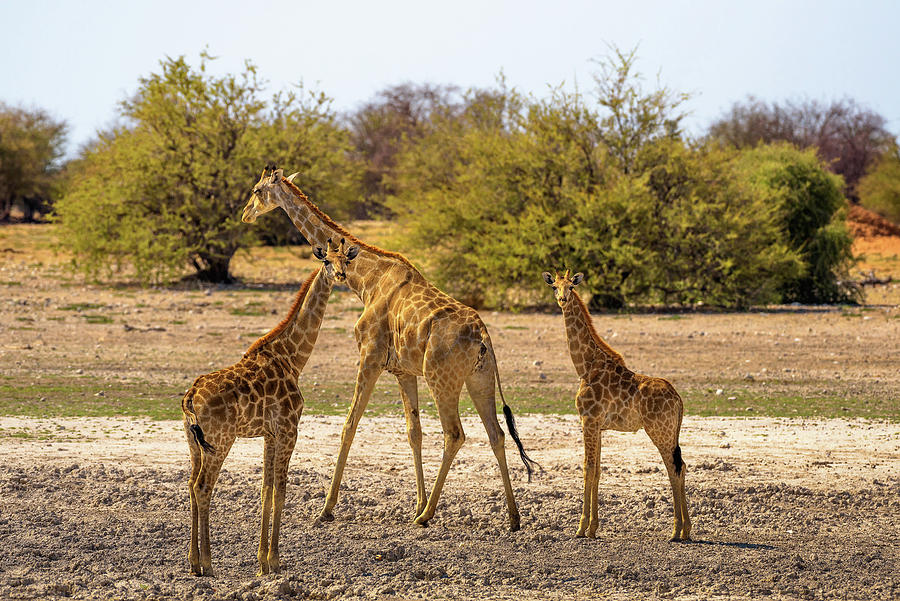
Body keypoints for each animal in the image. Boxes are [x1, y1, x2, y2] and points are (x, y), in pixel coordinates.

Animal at [181, 237, 360, 576]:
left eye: (346, 259)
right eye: (326, 261)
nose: (341, 275)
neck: (293, 358)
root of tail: (191, 396)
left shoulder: (269, 433)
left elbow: (265, 490)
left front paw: (262, 562)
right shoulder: (290, 429)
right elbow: (280, 490)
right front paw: (276, 561)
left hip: (193, 443)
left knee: (189, 484)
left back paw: (194, 563)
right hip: (220, 441)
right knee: (202, 487)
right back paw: (208, 564)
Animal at [239, 164, 536, 528]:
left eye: (257, 190)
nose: (245, 214)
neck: (366, 280)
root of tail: (483, 336)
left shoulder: (369, 356)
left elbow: (349, 426)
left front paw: (327, 509)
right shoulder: (402, 371)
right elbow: (413, 432)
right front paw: (415, 503)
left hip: (442, 380)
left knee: (455, 434)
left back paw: (427, 516)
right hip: (479, 379)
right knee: (496, 434)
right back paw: (512, 517)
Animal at [540, 270, 688, 540]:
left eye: (571, 287)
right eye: (554, 286)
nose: (563, 299)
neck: (585, 366)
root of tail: (678, 399)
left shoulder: (587, 420)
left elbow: (587, 468)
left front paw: (580, 528)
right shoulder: (599, 426)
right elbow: (598, 470)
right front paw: (593, 528)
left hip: (659, 431)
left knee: (674, 468)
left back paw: (676, 531)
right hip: (672, 432)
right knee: (681, 465)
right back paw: (686, 531)